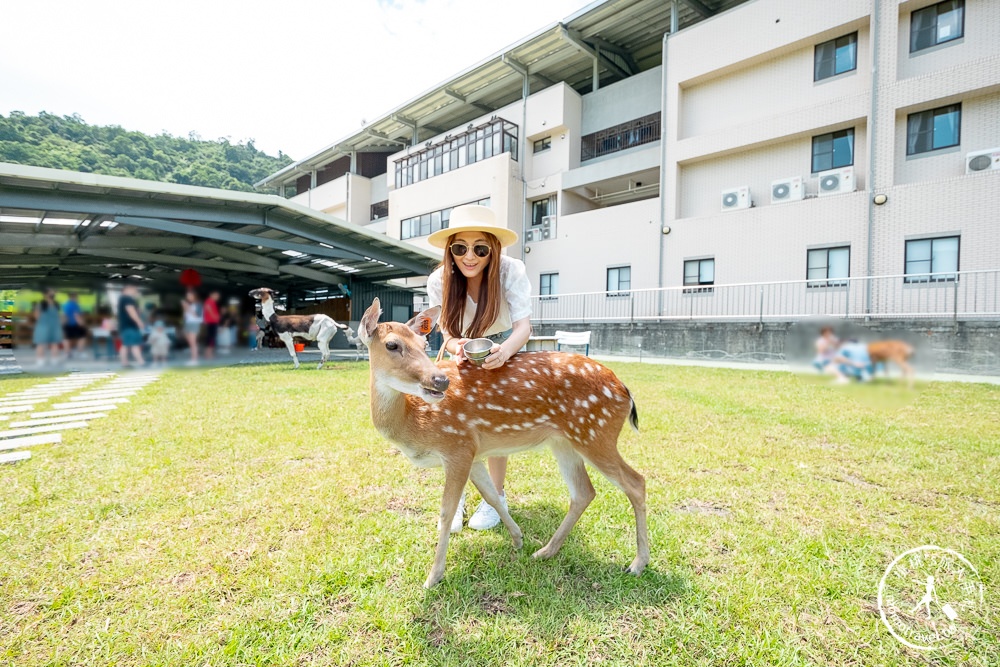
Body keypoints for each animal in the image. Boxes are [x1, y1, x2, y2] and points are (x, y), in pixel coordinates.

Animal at [360, 298, 648, 588]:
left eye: (424, 344)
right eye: (392, 345)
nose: (440, 380)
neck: (414, 422)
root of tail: (625, 390)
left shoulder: (457, 446)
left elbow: (445, 512)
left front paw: (433, 577)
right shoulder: (473, 454)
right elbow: (492, 496)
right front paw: (518, 538)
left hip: (595, 433)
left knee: (636, 482)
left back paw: (638, 563)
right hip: (565, 442)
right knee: (584, 492)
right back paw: (545, 551)